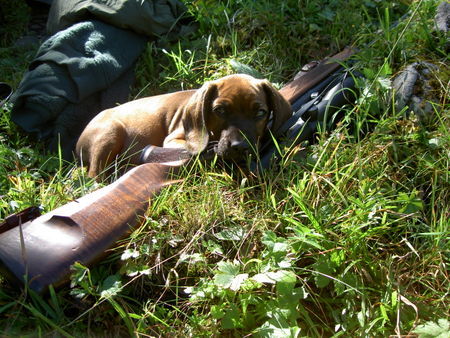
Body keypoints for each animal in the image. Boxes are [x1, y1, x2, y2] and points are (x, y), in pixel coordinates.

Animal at [75, 74, 292, 178]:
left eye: (261, 113)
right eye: (220, 110)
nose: (239, 147)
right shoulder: (173, 140)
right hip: (110, 132)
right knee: (94, 175)